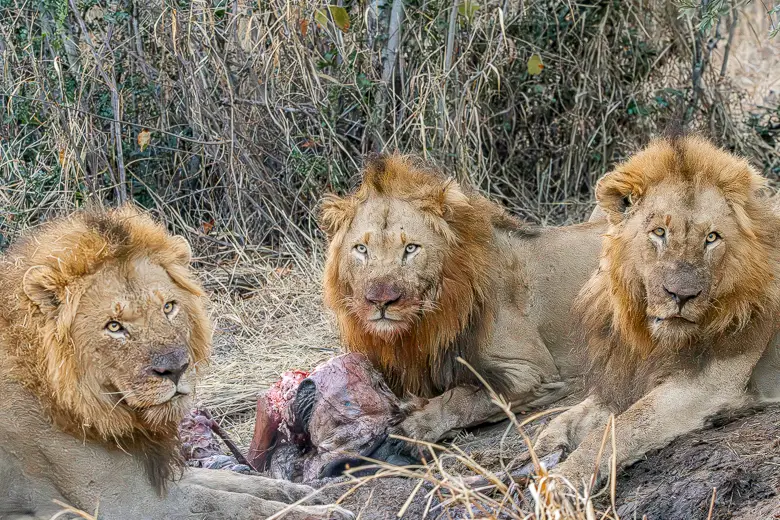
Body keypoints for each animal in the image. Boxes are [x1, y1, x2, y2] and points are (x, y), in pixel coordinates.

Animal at [0, 206, 351, 519]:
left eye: (168, 307)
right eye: (114, 326)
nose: (176, 370)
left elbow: (236, 482)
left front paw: (308, 492)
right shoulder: (127, 505)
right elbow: (228, 504)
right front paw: (324, 512)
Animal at [319, 155, 608, 443]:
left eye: (411, 248)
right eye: (361, 249)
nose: (380, 301)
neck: (422, 328)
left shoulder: (533, 371)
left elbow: (463, 398)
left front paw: (414, 425)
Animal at [533, 135, 780, 488]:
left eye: (712, 238)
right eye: (659, 232)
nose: (682, 295)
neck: (651, 336)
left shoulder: (708, 384)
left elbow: (621, 428)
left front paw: (566, 479)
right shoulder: (626, 377)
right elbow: (574, 414)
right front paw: (545, 444)